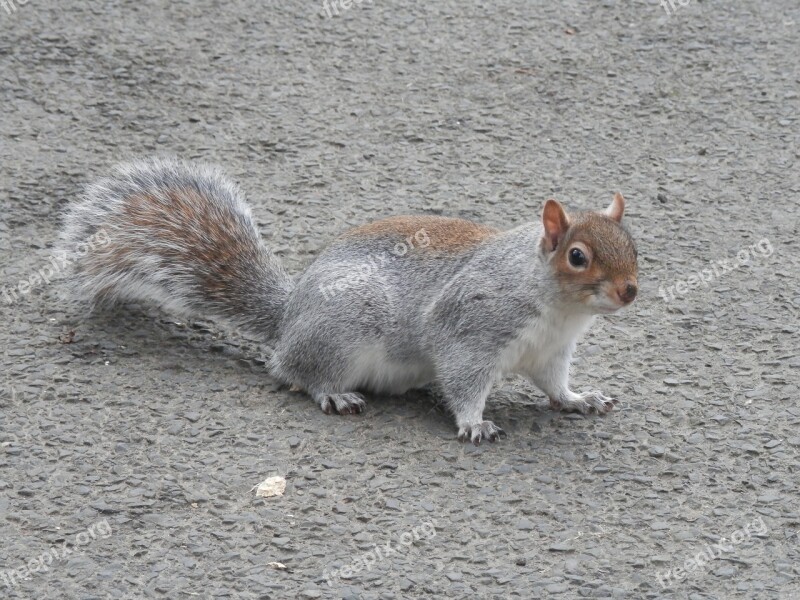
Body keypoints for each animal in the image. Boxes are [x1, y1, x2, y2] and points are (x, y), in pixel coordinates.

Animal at [59, 157, 640, 442]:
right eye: (578, 257)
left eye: (634, 245)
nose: (630, 290)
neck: (559, 308)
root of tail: (289, 317)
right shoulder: (471, 325)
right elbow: (463, 377)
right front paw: (474, 423)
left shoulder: (550, 352)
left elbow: (555, 384)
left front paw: (579, 399)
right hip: (342, 332)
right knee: (293, 371)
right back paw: (333, 393)